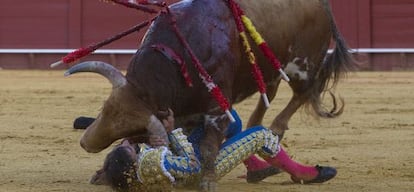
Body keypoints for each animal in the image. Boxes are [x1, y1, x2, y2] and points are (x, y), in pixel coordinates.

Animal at [64, 0, 352, 190]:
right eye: (104, 109)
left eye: (136, 130)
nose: (86, 143)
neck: (177, 57)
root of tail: (321, 4)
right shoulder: (185, 112)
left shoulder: (216, 111)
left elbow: (209, 148)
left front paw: (208, 181)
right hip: (269, 68)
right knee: (268, 94)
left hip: (303, 64)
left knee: (303, 93)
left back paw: (278, 130)